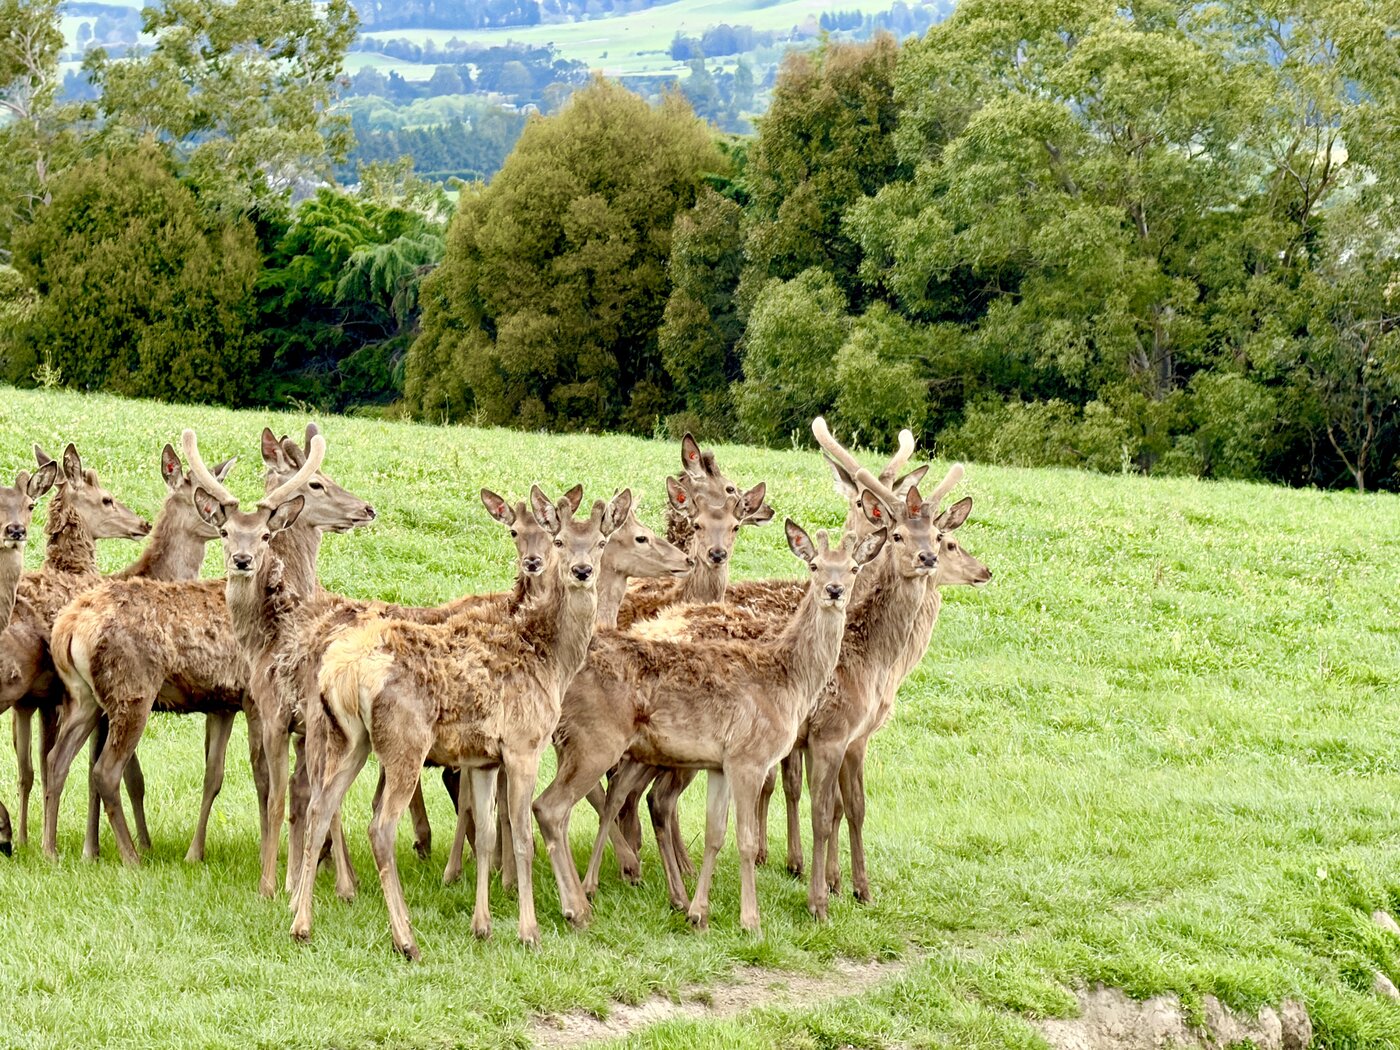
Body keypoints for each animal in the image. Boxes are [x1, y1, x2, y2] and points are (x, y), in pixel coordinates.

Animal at [2, 444, 151, 854]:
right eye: (107, 499)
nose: (143, 523)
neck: (75, 570)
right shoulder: (61, 696)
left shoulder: (36, 700)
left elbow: (30, 766)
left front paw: (29, 838)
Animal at [42, 427, 375, 868]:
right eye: (317, 482)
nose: (367, 509)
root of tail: (69, 627)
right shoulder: (252, 697)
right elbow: (263, 778)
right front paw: (266, 856)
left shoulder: (222, 702)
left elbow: (214, 776)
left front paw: (196, 853)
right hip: (132, 692)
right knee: (104, 771)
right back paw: (131, 857)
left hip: (83, 696)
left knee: (57, 760)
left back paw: (51, 849)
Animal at [289, 486, 629, 957]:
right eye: (559, 541)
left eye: (600, 541)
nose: (582, 571)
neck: (552, 661)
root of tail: (344, 670)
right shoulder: (523, 743)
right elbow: (522, 836)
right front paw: (529, 931)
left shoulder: (484, 760)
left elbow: (485, 833)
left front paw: (481, 926)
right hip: (405, 741)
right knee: (380, 827)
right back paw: (405, 938)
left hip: (349, 737)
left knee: (320, 808)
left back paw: (302, 925)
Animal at [534, 519, 885, 935]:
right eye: (814, 566)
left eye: (853, 568)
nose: (834, 591)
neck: (788, 679)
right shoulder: (749, 756)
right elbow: (745, 839)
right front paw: (751, 920)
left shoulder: (720, 764)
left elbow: (716, 834)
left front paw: (698, 913)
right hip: (596, 740)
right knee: (551, 807)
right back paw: (578, 908)